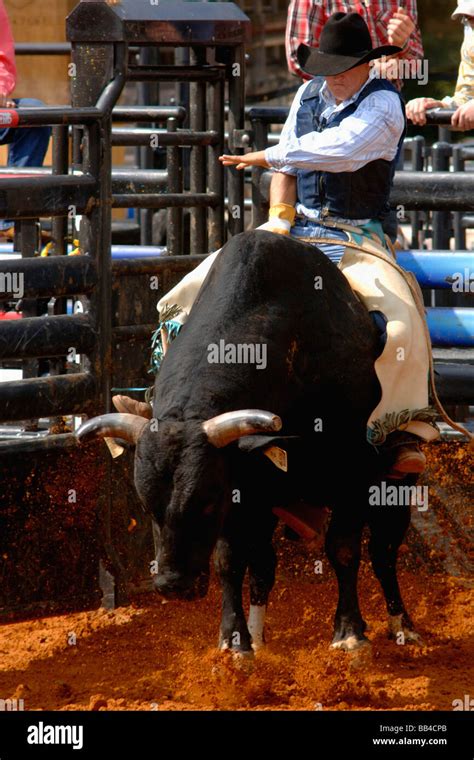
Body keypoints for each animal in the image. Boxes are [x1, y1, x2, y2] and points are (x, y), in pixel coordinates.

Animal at [78, 232, 422, 652]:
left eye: (207, 503)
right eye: (146, 506)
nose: (173, 586)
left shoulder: (355, 473)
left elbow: (343, 548)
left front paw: (349, 632)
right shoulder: (245, 487)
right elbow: (232, 560)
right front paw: (237, 640)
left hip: (396, 484)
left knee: (384, 551)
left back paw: (402, 623)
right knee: (264, 564)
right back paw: (259, 635)